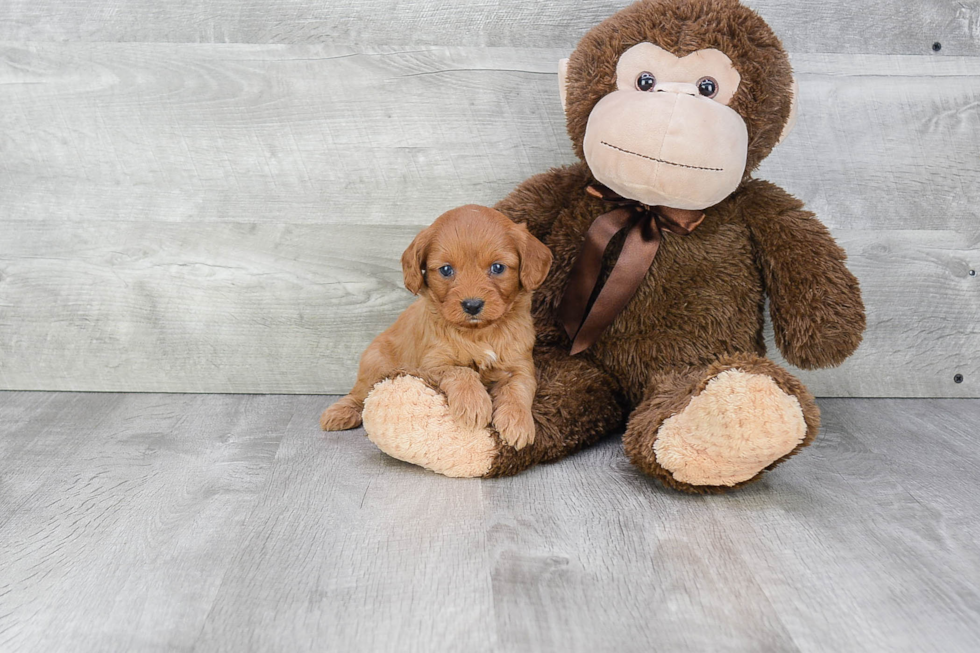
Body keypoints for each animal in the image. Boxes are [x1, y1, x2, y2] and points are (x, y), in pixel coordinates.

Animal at [320, 204, 552, 448]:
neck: (479, 333)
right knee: (360, 393)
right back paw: (340, 412)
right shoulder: (431, 365)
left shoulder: (521, 365)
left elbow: (519, 388)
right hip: (375, 364)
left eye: (498, 267)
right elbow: (461, 371)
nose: (472, 305)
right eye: (446, 270)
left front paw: (517, 424)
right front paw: (474, 404)